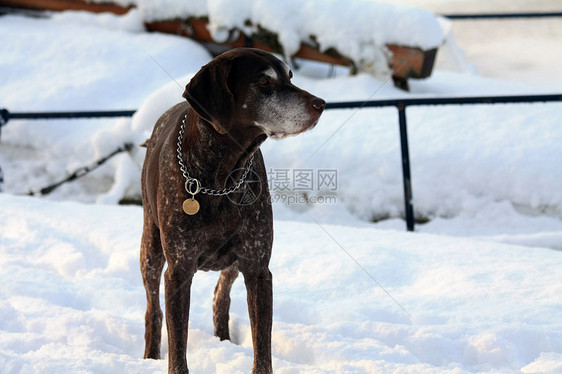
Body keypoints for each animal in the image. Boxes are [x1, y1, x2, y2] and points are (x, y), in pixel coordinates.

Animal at [140, 48, 324, 372]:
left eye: (290, 77)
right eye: (264, 82)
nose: (321, 104)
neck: (222, 176)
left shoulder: (257, 267)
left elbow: (262, 346)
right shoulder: (178, 271)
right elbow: (177, 346)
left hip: (235, 261)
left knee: (220, 295)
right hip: (151, 250)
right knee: (153, 310)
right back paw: (150, 355)